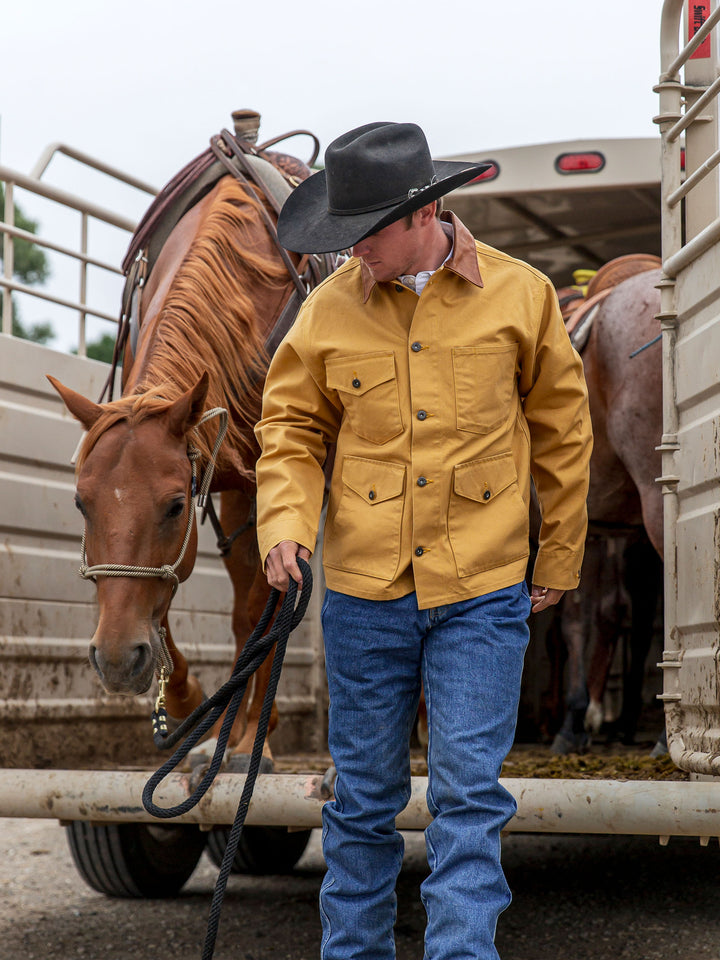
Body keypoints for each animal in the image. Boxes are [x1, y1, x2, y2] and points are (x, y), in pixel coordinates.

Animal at [50, 114, 332, 772]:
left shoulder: (263, 480)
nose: (115, 659)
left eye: (174, 505)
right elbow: (169, 597)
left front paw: (246, 739)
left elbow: (262, 601)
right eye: (80, 503)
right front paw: (182, 698)